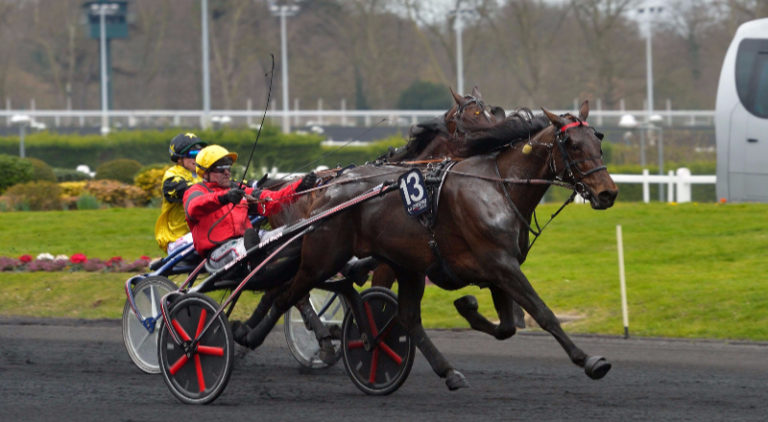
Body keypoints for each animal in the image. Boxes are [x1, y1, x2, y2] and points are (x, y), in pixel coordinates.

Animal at [243, 100, 620, 390]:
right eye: (572, 144)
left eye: (597, 139)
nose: (608, 193)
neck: (497, 187)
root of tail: (325, 191)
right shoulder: (500, 264)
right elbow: (543, 313)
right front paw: (589, 360)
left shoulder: (498, 267)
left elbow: (507, 327)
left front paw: (467, 307)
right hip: (323, 257)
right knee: (289, 293)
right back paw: (249, 335)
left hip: (404, 265)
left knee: (405, 316)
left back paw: (447, 371)